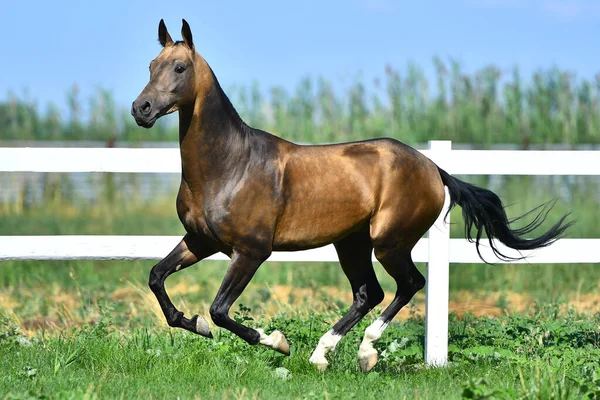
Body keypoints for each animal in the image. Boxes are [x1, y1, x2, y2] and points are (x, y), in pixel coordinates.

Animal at [131, 19, 572, 372]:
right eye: (151, 66)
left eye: (180, 67)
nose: (141, 108)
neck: (229, 165)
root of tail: (434, 169)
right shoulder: (200, 241)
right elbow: (157, 279)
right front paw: (196, 325)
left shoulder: (251, 251)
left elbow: (220, 309)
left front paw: (276, 341)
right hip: (352, 243)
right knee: (368, 293)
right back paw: (321, 355)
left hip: (389, 242)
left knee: (409, 283)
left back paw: (364, 353)